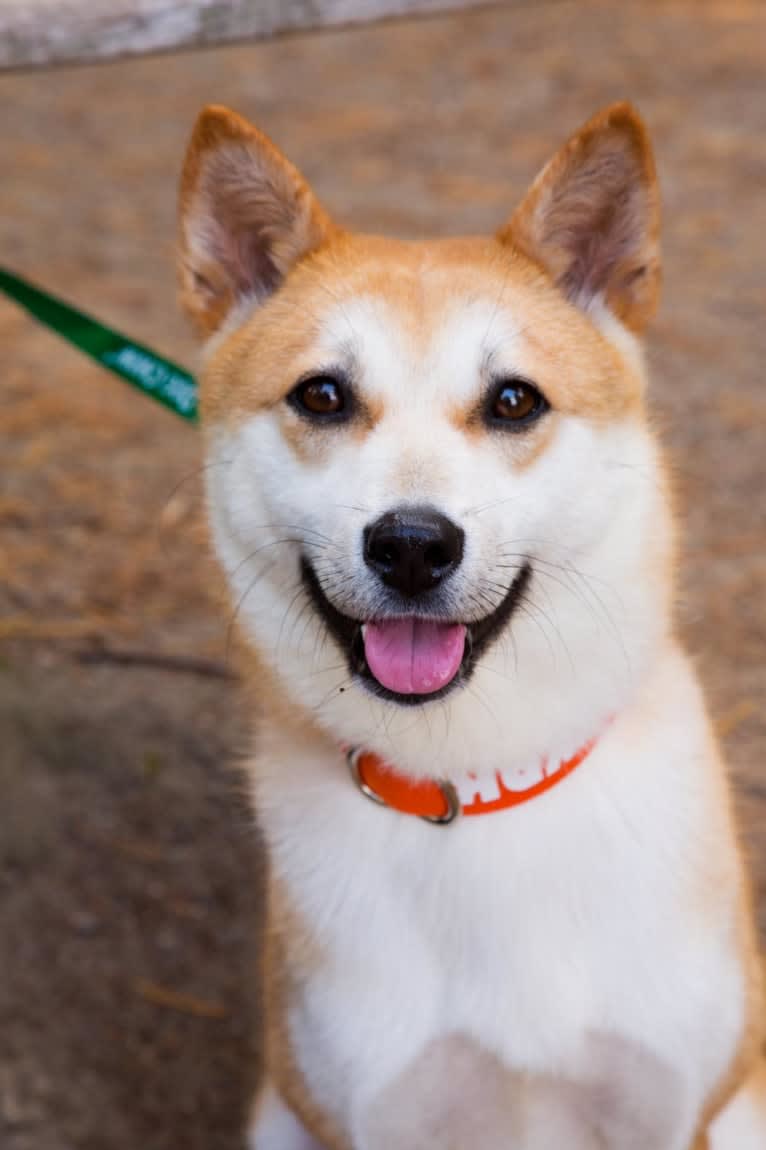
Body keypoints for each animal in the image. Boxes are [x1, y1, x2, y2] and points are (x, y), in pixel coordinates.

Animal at [177, 103, 763, 1145]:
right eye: (322, 395)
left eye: (513, 400)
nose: (412, 546)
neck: (480, 776)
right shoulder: (380, 1111)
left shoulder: (665, 1106)